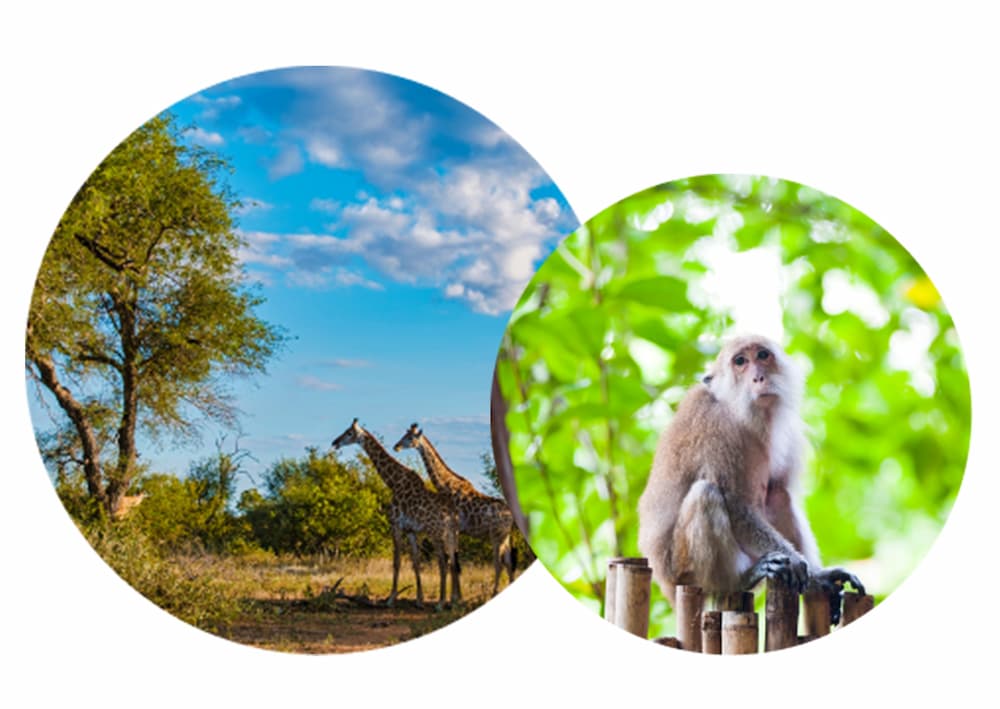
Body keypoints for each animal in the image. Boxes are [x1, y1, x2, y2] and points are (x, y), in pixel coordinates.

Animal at [334, 418, 462, 612]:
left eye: (349, 433)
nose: (335, 442)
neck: (393, 482)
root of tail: (452, 514)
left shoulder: (395, 524)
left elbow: (397, 561)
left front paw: (390, 599)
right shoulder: (410, 530)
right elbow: (415, 562)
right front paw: (419, 600)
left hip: (436, 533)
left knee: (443, 562)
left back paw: (440, 603)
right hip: (451, 534)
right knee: (453, 561)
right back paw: (453, 601)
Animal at [392, 424, 516, 596]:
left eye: (410, 437)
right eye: (404, 435)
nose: (396, 446)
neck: (446, 485)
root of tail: (511, 516)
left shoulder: (454, 528)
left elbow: (453, 562)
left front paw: (454, 596)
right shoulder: (455, 530)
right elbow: (454, 562)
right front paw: (456, 596)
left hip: (496, 535)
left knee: (498, 563)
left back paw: (494, 592)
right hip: (505, 536)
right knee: (509, 562)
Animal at [640, 334, 860, 624]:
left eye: (763, 355)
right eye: (740, 361)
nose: (759, 377)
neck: (741, 413)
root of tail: (665, 586)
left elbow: (777, 489)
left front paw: (818, 577)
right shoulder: (717, 428)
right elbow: (735, 503)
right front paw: (798, 564)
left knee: (777, 495)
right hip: (683, 572)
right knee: (706, 494)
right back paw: (738, 580)